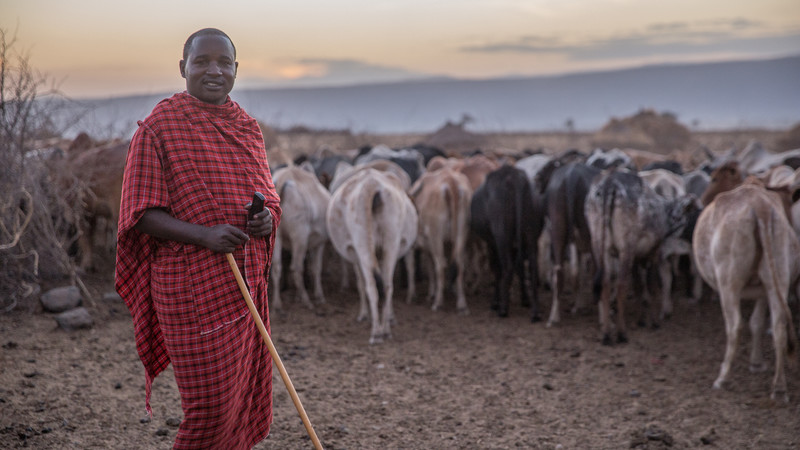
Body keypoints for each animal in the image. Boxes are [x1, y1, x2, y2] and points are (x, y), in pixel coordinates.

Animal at [270, 165, 330, 310]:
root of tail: (282, 180)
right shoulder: (319, 243)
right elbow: (316, 268)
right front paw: (319, 295)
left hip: (277, 237)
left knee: (277, 267)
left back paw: (277, 303)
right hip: (300, 235)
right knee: (296, 267)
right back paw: (306, 300)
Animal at [324, 167, 418, 342]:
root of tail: (371, 185)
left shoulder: (355, 254)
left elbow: (361, 284)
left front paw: (364, 314)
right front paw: (389, 317)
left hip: (362, 243)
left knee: (371, 286)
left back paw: (376, 332)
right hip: (391, 242)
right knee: (387, 285)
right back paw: (385, 330)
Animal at [584, 170, 696, 344]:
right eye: (682, 217)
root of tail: (610, 183)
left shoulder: (637, 258)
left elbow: (638, 287)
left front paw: (641, 319)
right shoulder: (653, 252)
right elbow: (652, 285)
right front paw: (653, 321)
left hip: (600, 245)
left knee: (605, 283)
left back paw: (606, 334)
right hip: (625, 248)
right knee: (621, 285)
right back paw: (621, 333)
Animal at [692, 181, 800, 402]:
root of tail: (761, 207)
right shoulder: (763, 290)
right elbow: (757, 323)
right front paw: (756, 363)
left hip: (729, 282)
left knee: (735, 326)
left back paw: (723, 378)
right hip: (777, 277)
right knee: (779, 328)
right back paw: (779, 387)